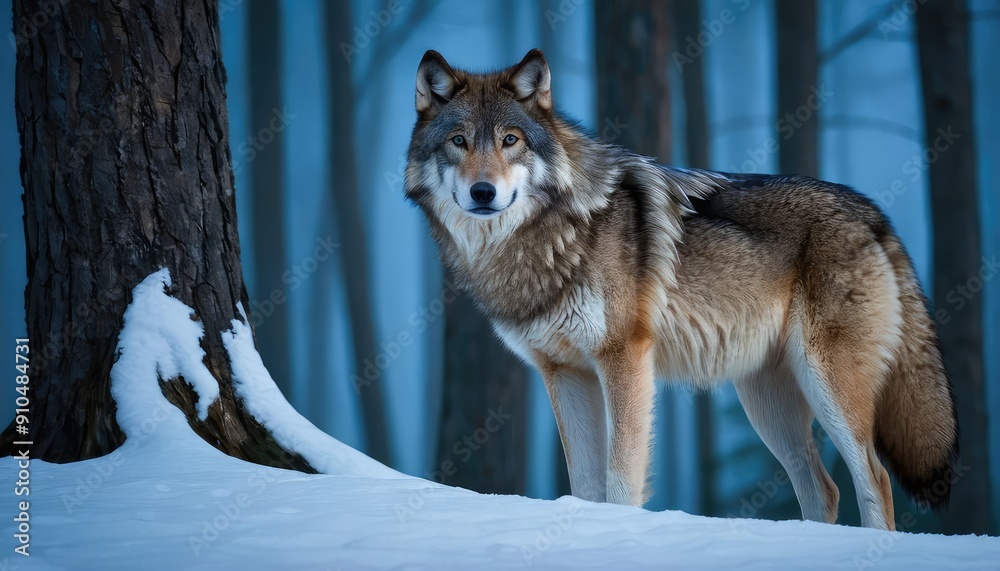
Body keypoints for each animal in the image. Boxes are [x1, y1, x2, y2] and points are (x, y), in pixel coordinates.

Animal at [404, 49, 958, 530]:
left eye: (511, 140)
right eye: (459, 141)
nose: (483, 192)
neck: (552, 236)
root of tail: (873, 212)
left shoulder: (623, 358)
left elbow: (620, 480)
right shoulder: (564, 373)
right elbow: (585, 486)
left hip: (828, 387)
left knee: (875, 478)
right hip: (767, 402)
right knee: (824, 489)